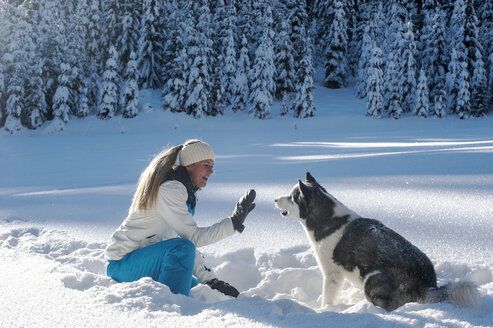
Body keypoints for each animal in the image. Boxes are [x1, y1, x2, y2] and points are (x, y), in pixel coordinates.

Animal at [274, 173, 478, 312]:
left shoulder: (331, 275)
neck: (329, 220)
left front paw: (322, 310)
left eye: (291, 197)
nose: (275, 199)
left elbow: (326, 298)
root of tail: (426, 285)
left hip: (371, 280)